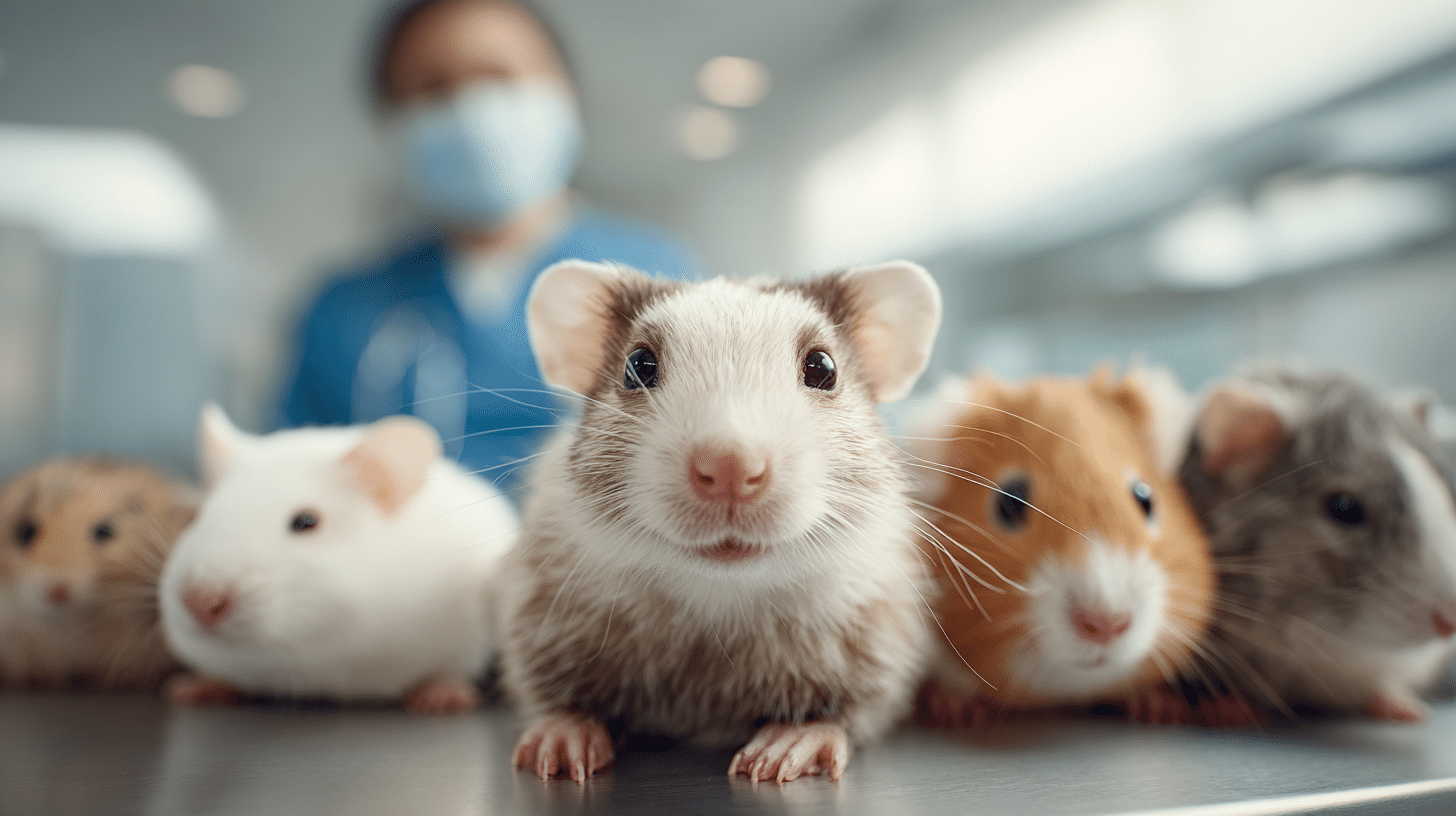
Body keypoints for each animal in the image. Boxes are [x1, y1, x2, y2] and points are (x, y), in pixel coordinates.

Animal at [158, 405, 519, 714]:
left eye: (306, 522)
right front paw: (196, 686)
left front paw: (440, 695)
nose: (199, 603)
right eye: (197, 517)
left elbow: (449, 670)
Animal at [498, 260, 942, 783]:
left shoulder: (883, 644)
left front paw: (790, 745)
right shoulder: (536, 617)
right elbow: (557, 698)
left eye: (822, 368)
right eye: (638, 366)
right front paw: (563, 739)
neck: (718, 601)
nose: (730, 468)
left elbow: (845, 711)